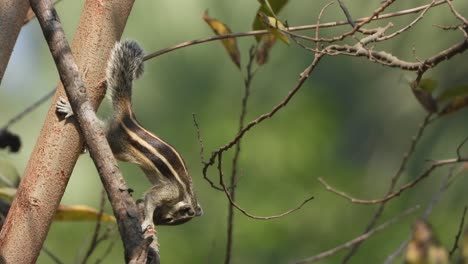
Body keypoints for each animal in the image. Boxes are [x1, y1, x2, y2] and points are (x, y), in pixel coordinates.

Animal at [55, 40, 202, 232]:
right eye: (171, 219)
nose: (159, 222)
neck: (186, 194)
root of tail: (127, 117)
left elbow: (147, 198)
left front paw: (140, 205)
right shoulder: (168, 191)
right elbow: (151, 198)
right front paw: (148, 221)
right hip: (114, 139)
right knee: (97, 125)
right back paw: (72, 110)